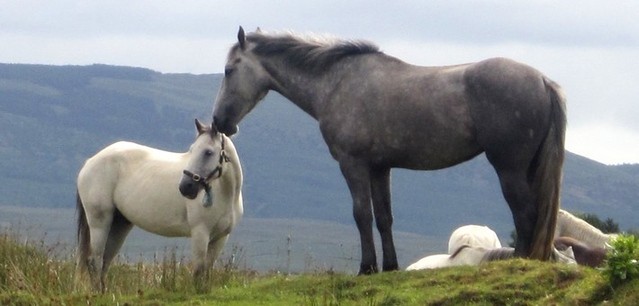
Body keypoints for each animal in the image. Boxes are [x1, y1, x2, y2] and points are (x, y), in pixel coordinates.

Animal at [75, 119, 244, 292]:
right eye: (192, 150)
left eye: (208, 152)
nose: (185, 187)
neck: (225, 194)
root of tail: (90, 162)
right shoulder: (200, 233)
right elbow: (198, 270)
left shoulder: (220, 238)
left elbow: (208, 269)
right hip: (99, 222)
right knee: (95, 260)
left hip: (120, 224)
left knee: (106, 259)